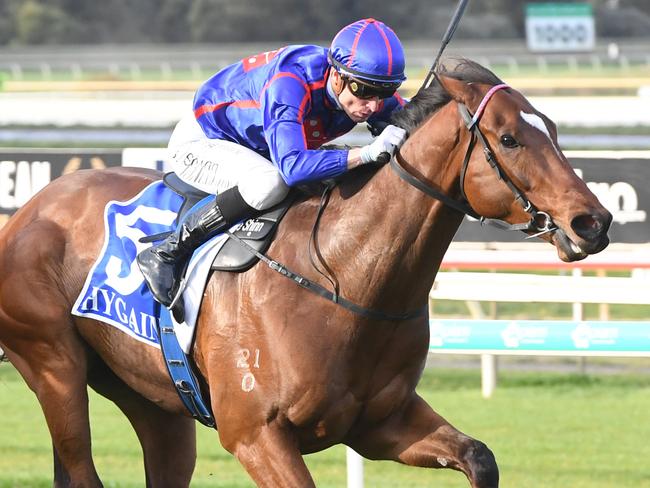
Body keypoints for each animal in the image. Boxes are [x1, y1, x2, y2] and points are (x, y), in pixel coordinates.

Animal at [0, 59, 608, 486]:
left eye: (554, 130)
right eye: (509, 138)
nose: (593, 222)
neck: (344, 279)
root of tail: (30, 210)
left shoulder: (382, 424)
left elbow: (479, 457)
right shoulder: (256, 436)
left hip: (156, 401)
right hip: (53, 364)